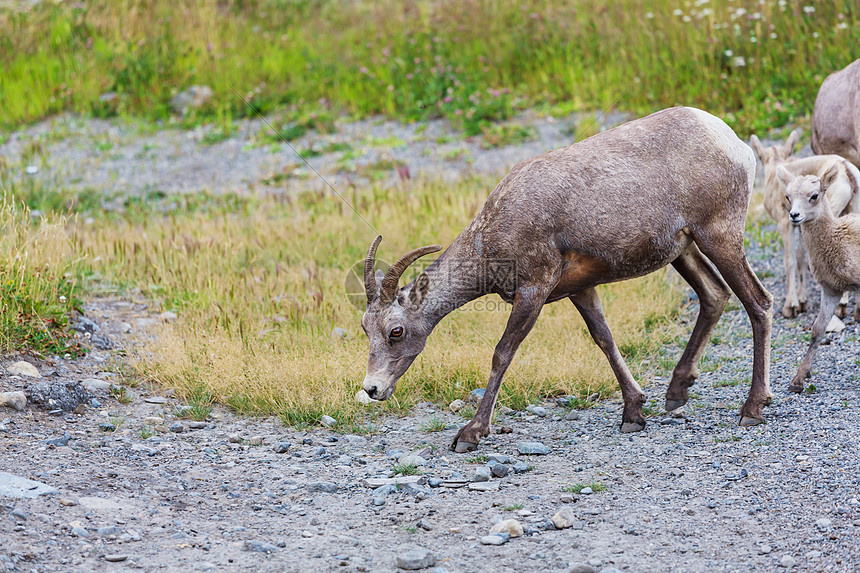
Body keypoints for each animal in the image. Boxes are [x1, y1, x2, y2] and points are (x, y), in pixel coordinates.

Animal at [360, 105, 776, 450]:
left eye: (395, 331)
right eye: (365, 328)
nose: (372, 389)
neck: (492, 231)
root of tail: (733, 142)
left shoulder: (533, 291)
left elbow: (502, 353)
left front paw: (470, 434)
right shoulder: (581, 289)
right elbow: (604, 339)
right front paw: (633, 414)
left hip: (719, 237)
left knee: (758, 302)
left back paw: (752, 409)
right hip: (684, 251)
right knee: (714, 296)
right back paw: (676, 392)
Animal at [780, 163, 860, 392]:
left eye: (814, 195)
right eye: (788, 196)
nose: (794, 215)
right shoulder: (831, 290)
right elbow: (817, 330)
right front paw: (798, 381)